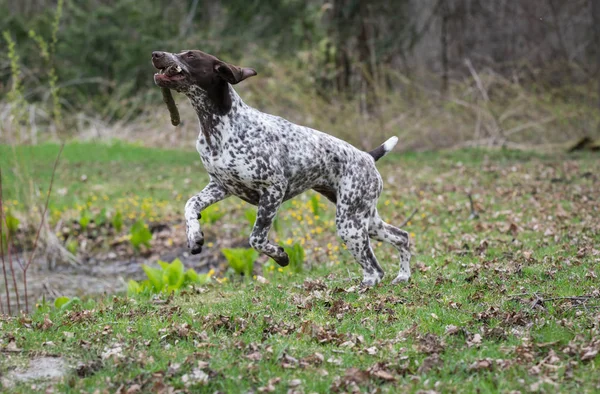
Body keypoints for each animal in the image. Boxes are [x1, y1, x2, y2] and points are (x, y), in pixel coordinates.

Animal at [152, 50, 410, 286]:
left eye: (191, 55)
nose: (156, 54)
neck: (219, 126)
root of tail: (367, 156)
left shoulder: (273, 189)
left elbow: (256, 239)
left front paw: (280, 256)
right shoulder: (220, 186)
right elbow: (190, 204)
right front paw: (194, 235)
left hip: (350, 223)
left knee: (375, 269)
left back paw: (364, 287)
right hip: (365, 218)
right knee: (402, 237)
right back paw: (403, 276)